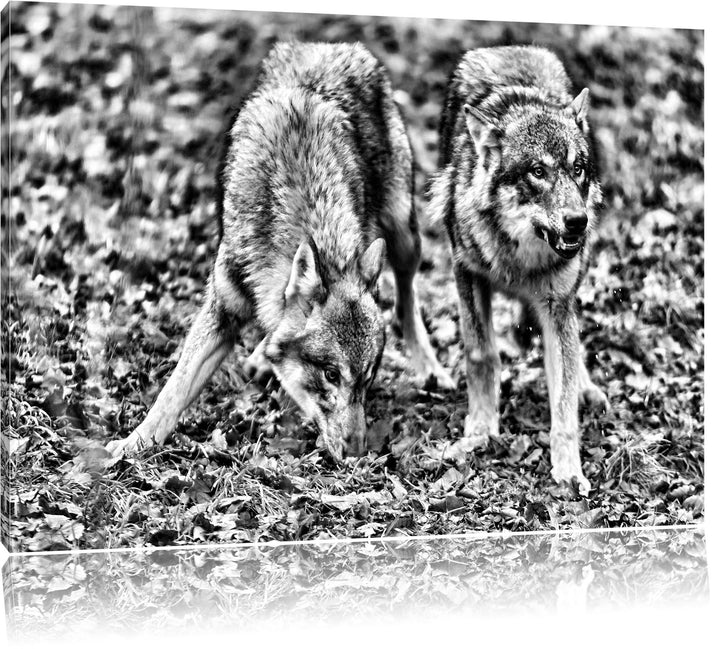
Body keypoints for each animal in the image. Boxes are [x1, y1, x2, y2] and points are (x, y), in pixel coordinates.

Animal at [107, 41, 453, 461]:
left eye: (367, 380)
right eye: (331, 375)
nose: (357, 452)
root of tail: (334, 46)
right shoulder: (221, 310)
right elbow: (174, 389)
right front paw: (133, 444)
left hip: (402, 233)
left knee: (407, 296)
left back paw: (430, 366)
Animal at [429, 46, 609, 492]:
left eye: (577, 168)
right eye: (538, 172)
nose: (577, 222)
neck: (520, 261)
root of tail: (511, 46)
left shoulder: (557, 304)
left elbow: (563, 396)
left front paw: (569, 470)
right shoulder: (466, 274)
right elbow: (482, 356)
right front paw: (480, 431)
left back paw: (588, 388)